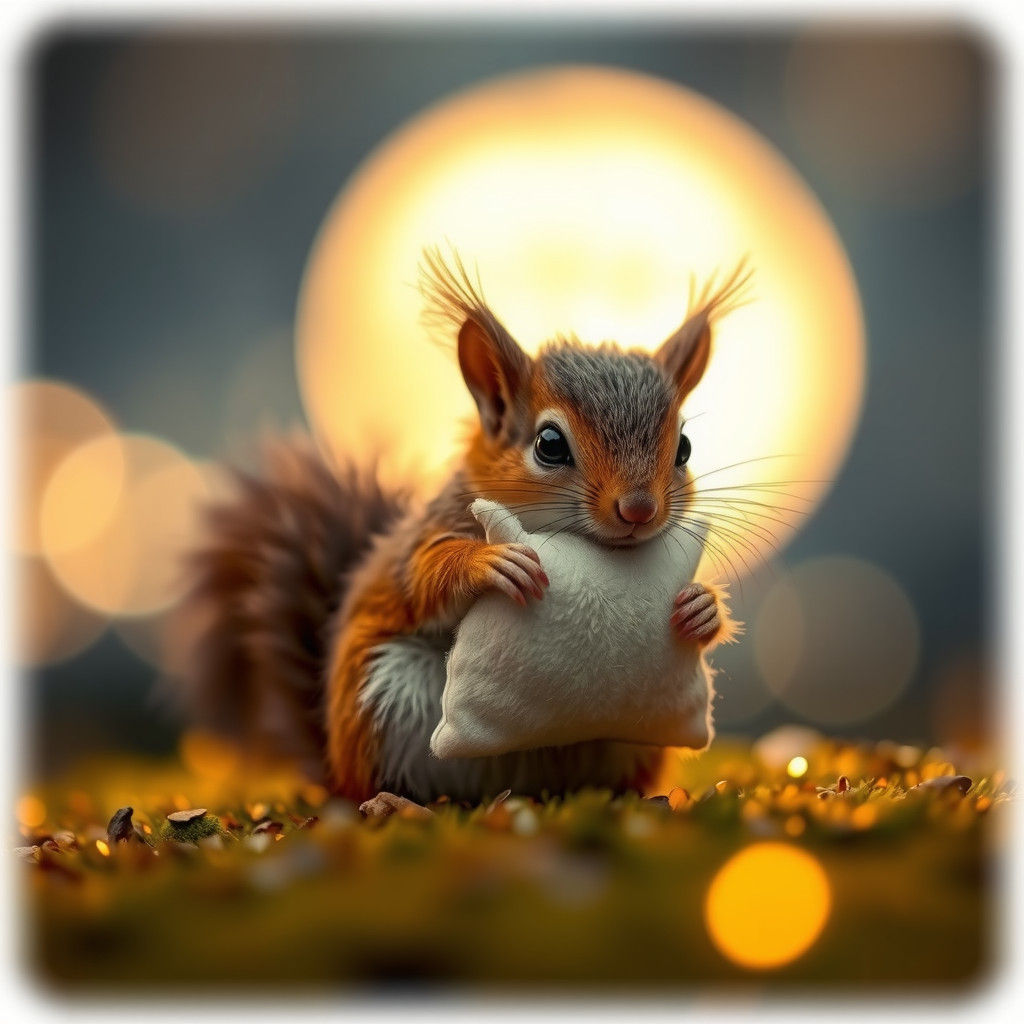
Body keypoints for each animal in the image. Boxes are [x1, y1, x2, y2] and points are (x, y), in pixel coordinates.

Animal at [183, 250, 749, 807]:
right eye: (549, 444)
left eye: (684, 448)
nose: (639, 509)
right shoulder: (427, 538)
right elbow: (423, 578)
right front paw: (489, 563)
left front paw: (703, 607)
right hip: (385, 698)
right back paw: (396, 803)